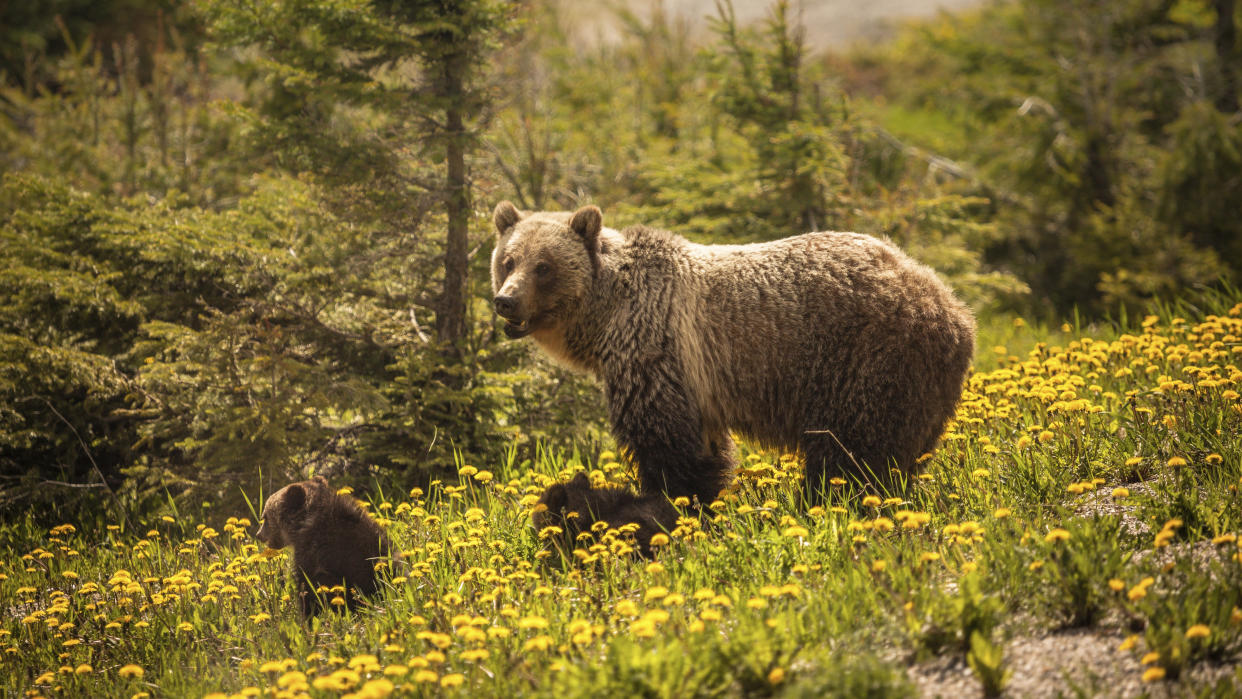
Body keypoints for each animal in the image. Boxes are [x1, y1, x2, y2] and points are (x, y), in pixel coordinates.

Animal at [489, 199, 973, 506]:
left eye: (544, 266)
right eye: (507, 260)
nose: (506, 301)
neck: (607, 314)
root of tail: (950, 305)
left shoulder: (656, 351)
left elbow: (666, 444)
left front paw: (671, 502)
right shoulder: (693, 382)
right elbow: (705, 449)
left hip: (866, 359)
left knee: (853, 451)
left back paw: (828, 502)